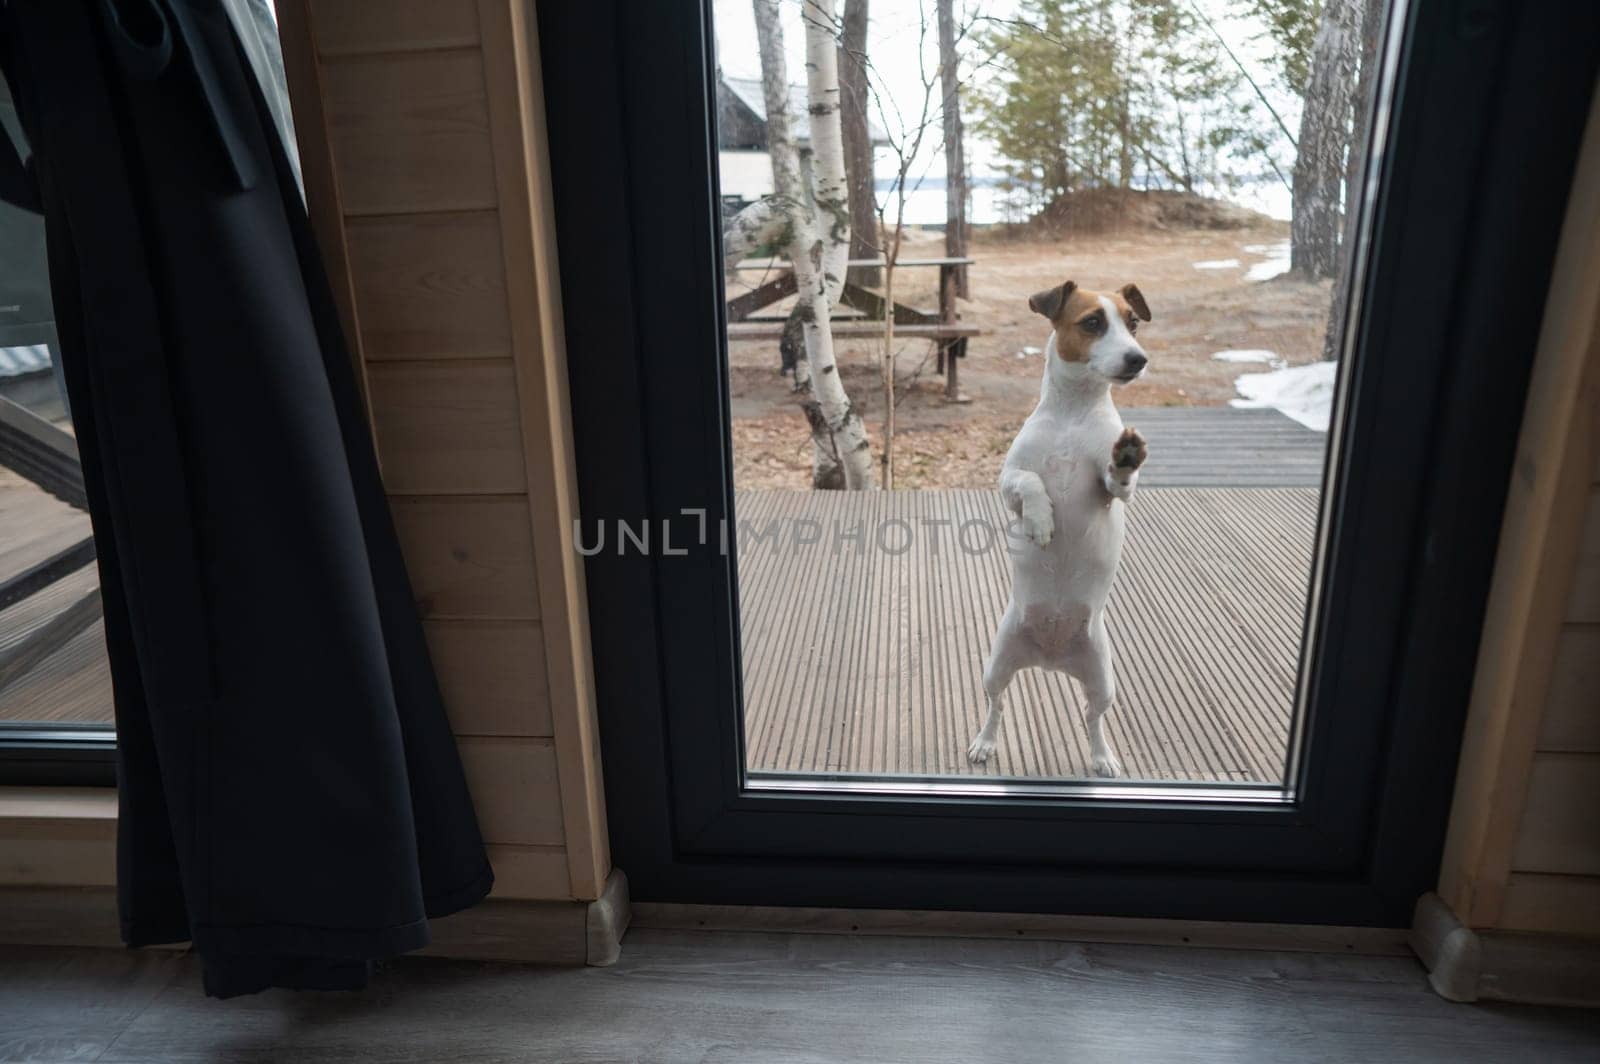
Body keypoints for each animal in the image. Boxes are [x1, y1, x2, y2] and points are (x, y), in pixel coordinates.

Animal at [960, 278, 1152, 777]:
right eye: (1093, 322)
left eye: (1133, 323)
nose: (1138, 359)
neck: (1073, 415)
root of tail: (1049, 659)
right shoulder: (1008, 482)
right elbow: (1030, 483)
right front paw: (1043, 522)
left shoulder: (1111, 491)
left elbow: (1118, 478)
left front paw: (1126, 456)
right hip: (996, 666)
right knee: (996, 706)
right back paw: (984, 742)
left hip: (1103, 680)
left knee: (1093, 719)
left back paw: (1102, 757)